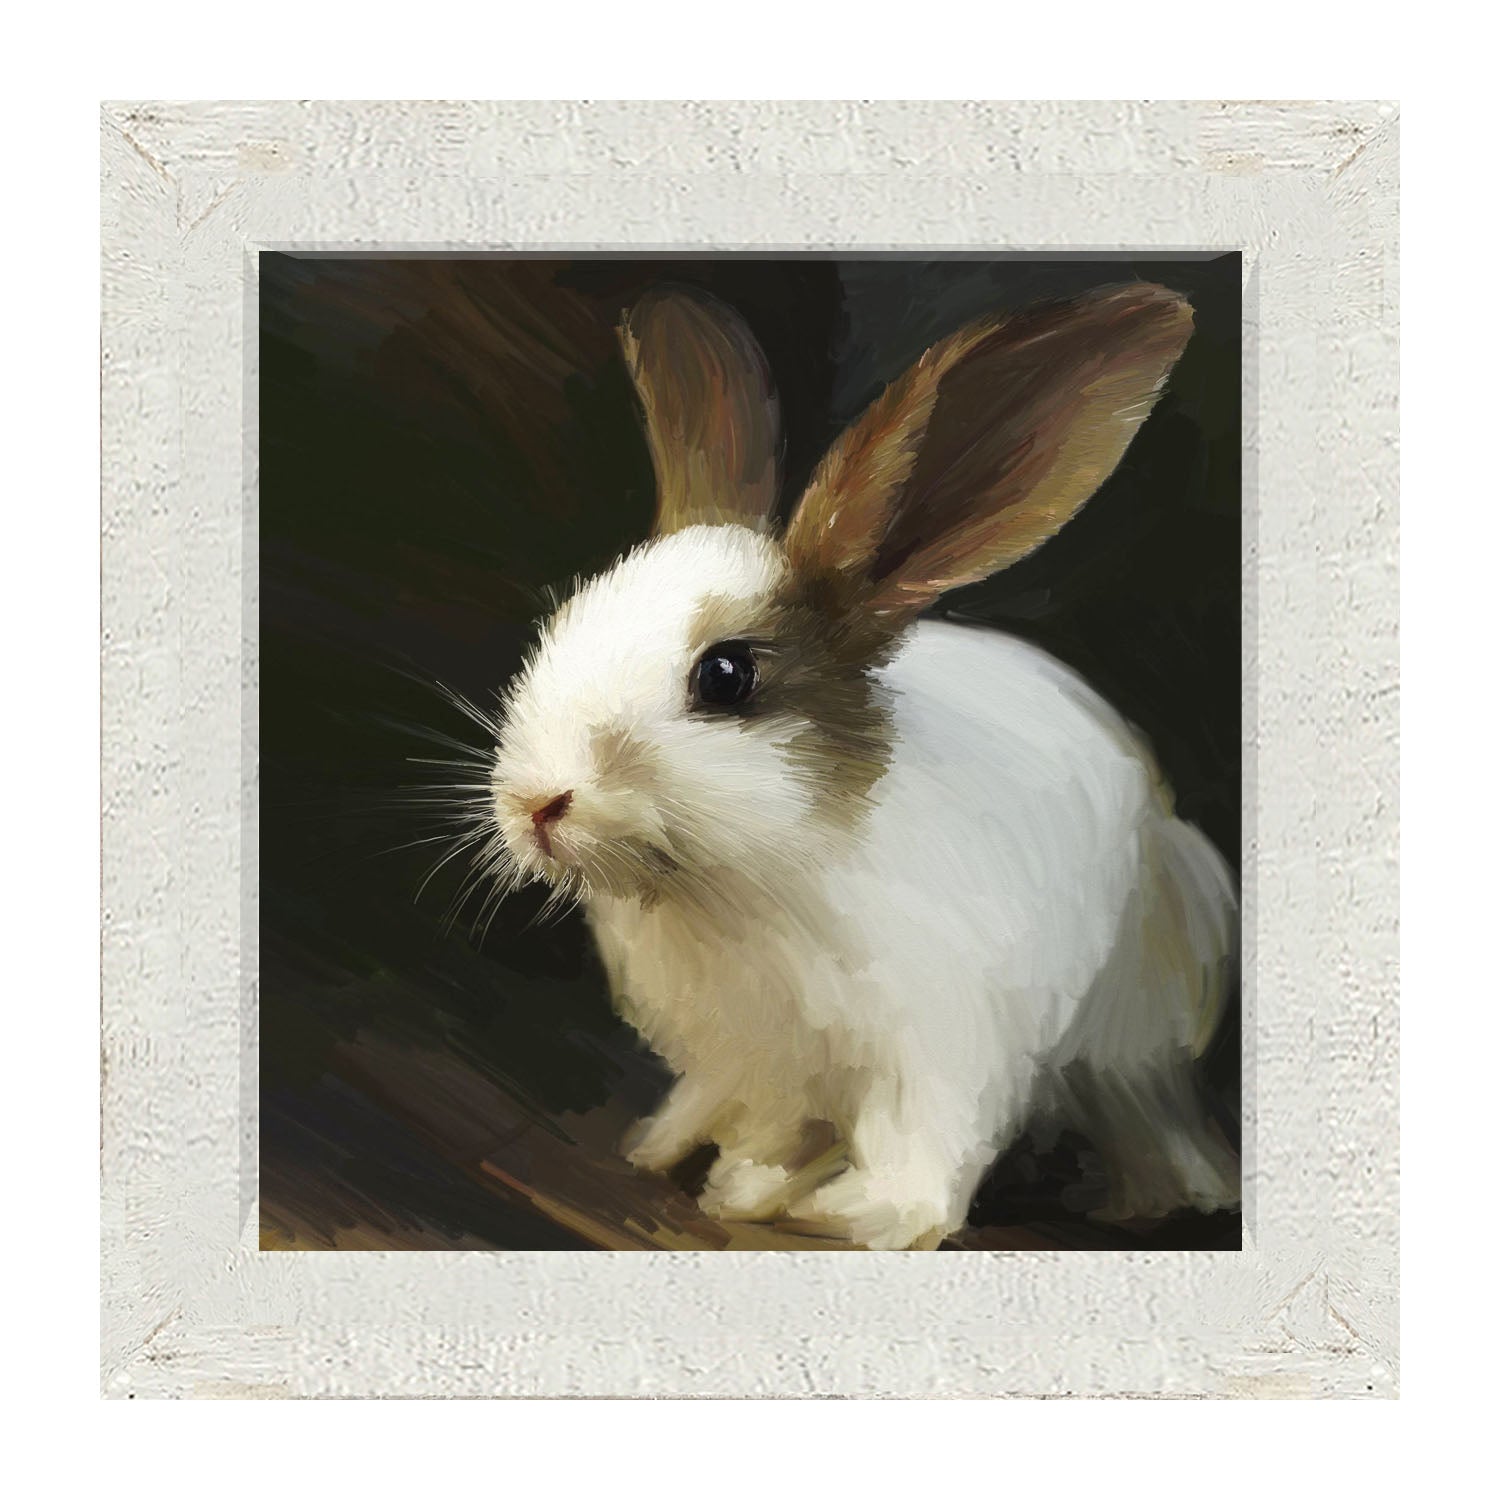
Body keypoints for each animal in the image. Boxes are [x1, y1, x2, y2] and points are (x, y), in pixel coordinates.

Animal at [484, 281, 1241, 1249]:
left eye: (726, 676)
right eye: (567, 617)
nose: (535, 804)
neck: (740, 884)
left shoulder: (940, 1049)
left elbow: (922, 1151)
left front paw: (857, 1215)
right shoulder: (754, 1061)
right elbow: (769, 1129)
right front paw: (741, 1187)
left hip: (1136, 1032)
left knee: (1146, 1112)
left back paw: (1158, 1197)